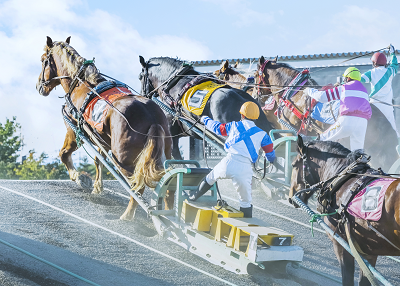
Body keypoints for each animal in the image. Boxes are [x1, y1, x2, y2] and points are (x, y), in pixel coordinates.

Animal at [38, 36, 173, 220]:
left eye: (43, 60)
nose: (39, 86)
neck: (81, 83)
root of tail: (152, 117)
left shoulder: (73, 131)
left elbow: (64, 154)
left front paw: (79, 178)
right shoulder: (102, 139)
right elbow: (98, 160)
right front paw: (97, 186)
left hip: (124, 160)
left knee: (137, 186)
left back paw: (128, 216)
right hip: (164, 154)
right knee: (169, 184)